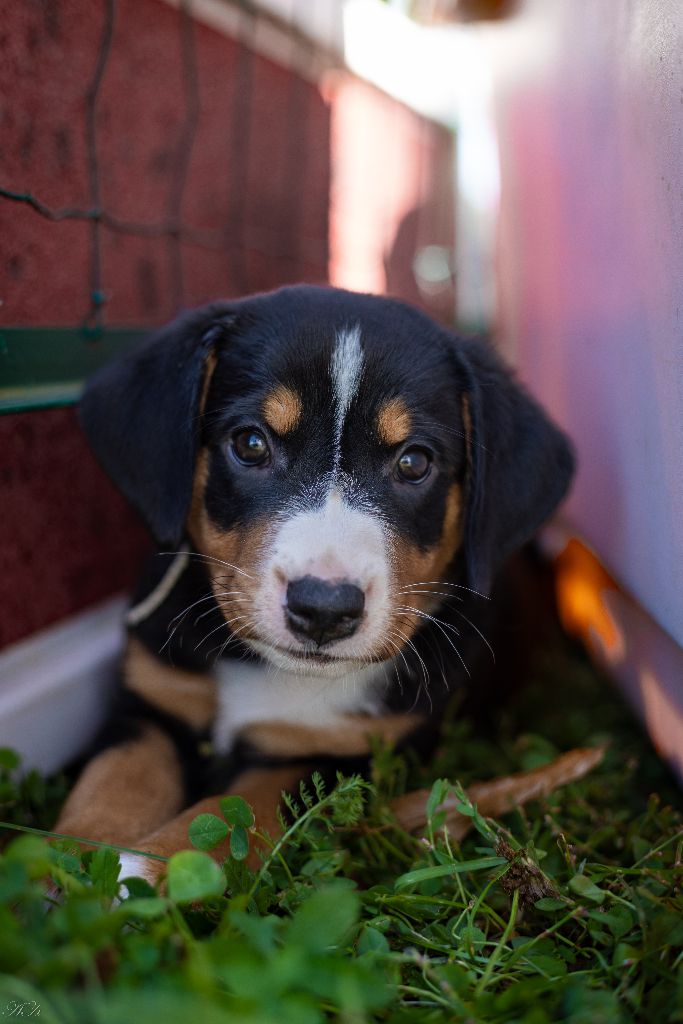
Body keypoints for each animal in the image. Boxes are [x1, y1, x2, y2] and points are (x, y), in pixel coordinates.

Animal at [56, 286, 573, 880]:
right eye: (251, 444)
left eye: (414, 462)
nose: (324, 609)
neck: (275, 674)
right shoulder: (150, 703)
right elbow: (113, 780)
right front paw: (67, 865)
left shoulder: (337, 753)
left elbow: (234, 810)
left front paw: (148, 868)